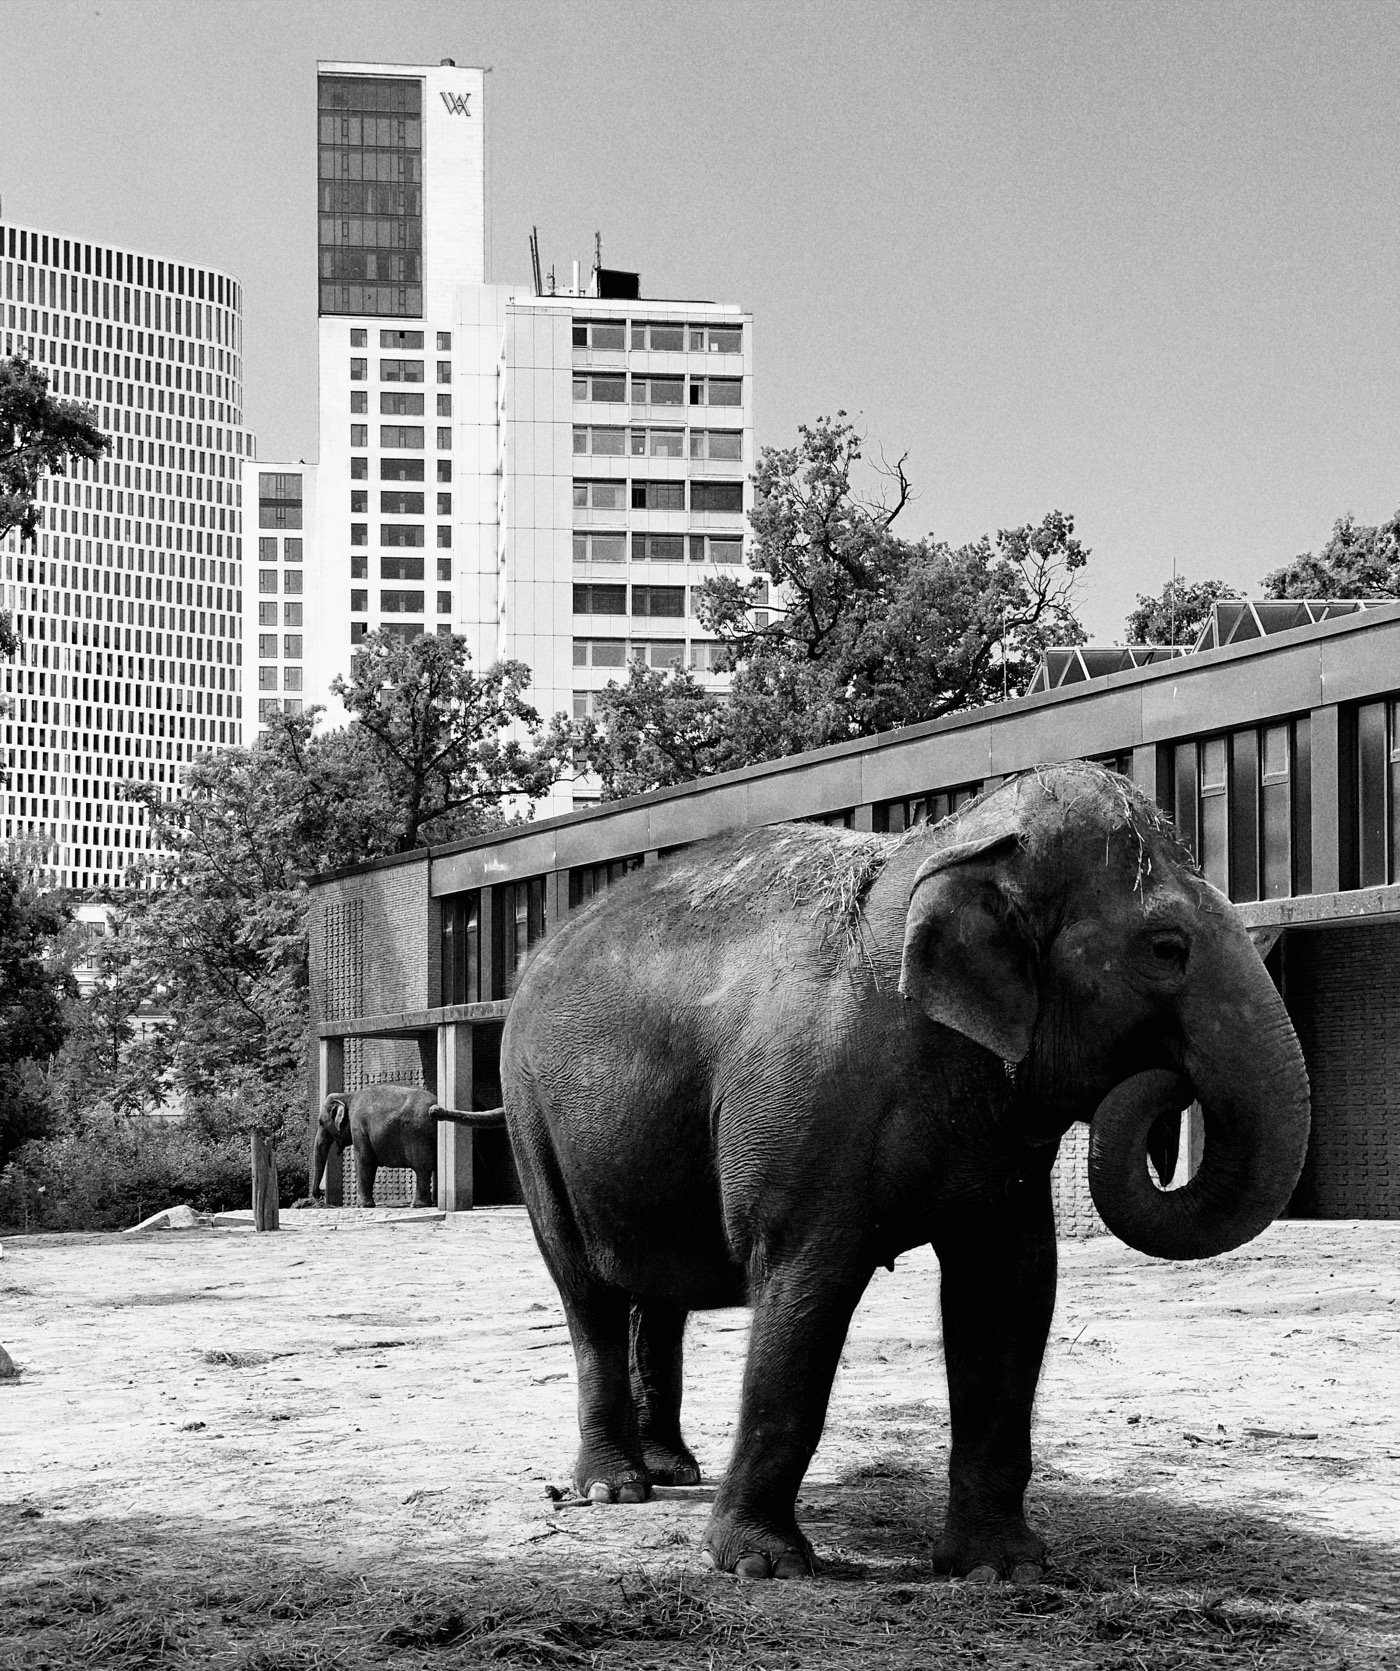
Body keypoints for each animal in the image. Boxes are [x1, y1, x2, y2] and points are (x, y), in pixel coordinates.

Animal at [311, 1085, 494, 1208]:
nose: (320, 1194)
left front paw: (362, 1206)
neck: (348, 1095)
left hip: (418, 1133)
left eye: (320, 1122)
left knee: (422, 1167)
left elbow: (365, 1159)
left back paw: (418, 1205)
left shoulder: (358, 1125)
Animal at [499, 761, 1310, 1581]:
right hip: (529, 1118)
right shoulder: (804, 1118)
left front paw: (1000, 1568)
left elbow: (1009, 1293)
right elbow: (804, 1295)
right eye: (1166, 947)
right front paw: (763, 1566)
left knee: (661, 1293)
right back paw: (613, 1488)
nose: (1171, 1081)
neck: (948, 846)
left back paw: (674, 1470)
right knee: (586, 1290)